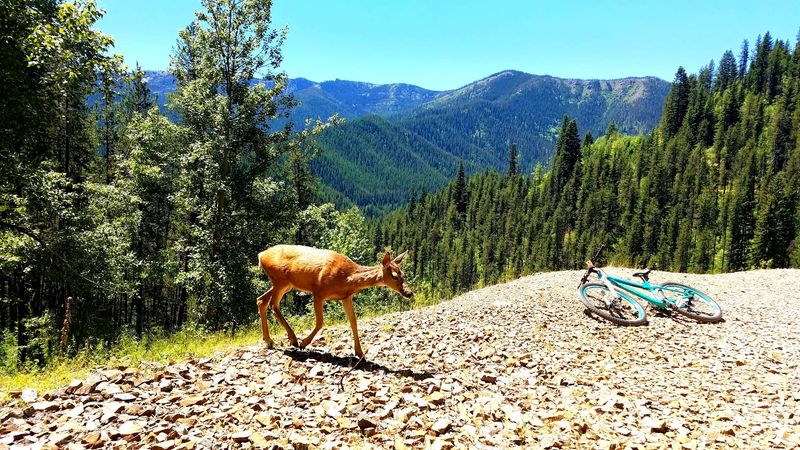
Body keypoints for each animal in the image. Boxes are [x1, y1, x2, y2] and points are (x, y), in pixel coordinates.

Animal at [257, 245, 412, 358]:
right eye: (394, 276)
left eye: (403, 274)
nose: (409, 293)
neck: (346, 279)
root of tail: (261, 255)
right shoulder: (319, 292)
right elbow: (320, 322)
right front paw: (304, 343)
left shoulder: (346, 297)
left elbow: (353, 321)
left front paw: (360, 353)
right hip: (280, 280)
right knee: (273, 304)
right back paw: (293, 339)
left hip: (285, 284)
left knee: (261, 300)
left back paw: (269, 341)